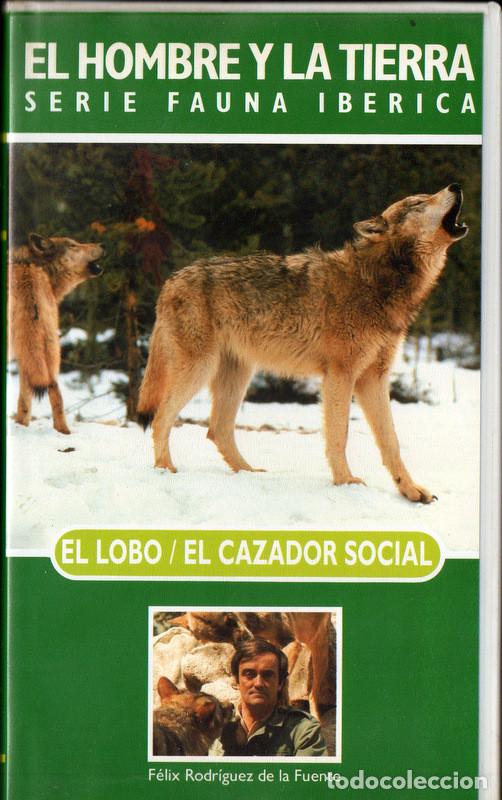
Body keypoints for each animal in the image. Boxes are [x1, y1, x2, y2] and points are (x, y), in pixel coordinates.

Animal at [138, 185, 468, 503]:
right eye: (418, 203)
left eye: (427, 196)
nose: (456, 185)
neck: (379, 281)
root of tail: (170, 281)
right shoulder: (341, 375)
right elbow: (339, 435)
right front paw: (345, 482)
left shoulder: (373, 378)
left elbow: (391, 442)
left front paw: (410, 491)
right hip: (200, 370)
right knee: (162, 417)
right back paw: (165, 468)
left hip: (238, 374)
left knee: (217, 429)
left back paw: (249, 473)